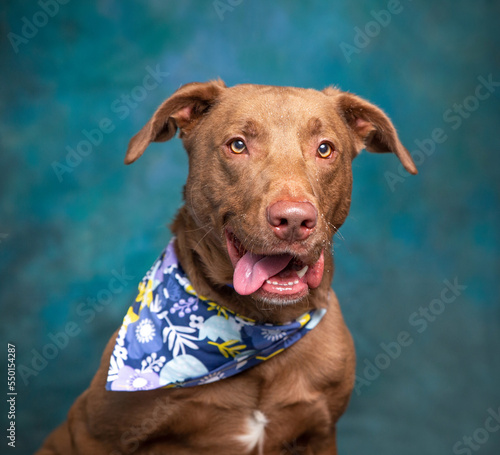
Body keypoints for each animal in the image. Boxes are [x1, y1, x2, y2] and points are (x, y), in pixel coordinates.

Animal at [37, 80, 416, 454]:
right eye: (237, 145)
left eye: (325, 149)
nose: (294, 220)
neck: (263, 329)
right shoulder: (93, 430)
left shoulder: (321, 433)